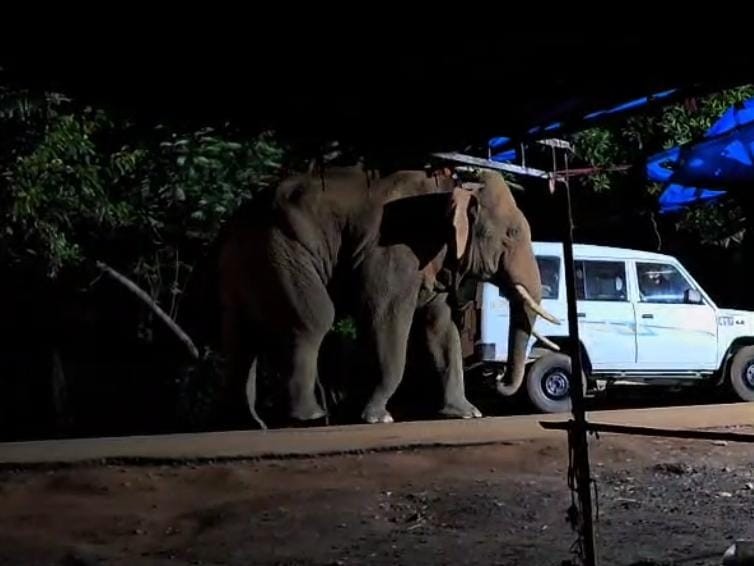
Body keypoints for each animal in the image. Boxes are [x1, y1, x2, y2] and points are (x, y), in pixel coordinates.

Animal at [214, 166, 558, 425]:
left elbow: (441, 328)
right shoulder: (393, 251)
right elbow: (387, 317)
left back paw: (248, 423)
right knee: (312, 320)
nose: (498, 382)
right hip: (283, 250)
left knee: (242, 337)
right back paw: (309, 417)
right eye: (512, 234)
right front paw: (378, 418)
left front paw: (466, 414)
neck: (454, 185)